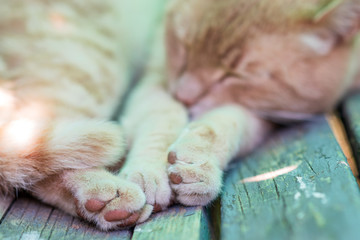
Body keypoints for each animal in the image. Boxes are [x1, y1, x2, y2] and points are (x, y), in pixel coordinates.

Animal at [0, 0, 360, 231]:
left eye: (233, 74)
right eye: (183, 44)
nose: (185, 95)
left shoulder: (267, 112)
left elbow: (226, 123)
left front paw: (199, 163)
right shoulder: (156, 78)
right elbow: (162, 119)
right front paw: (148, 171)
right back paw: (105, 193)